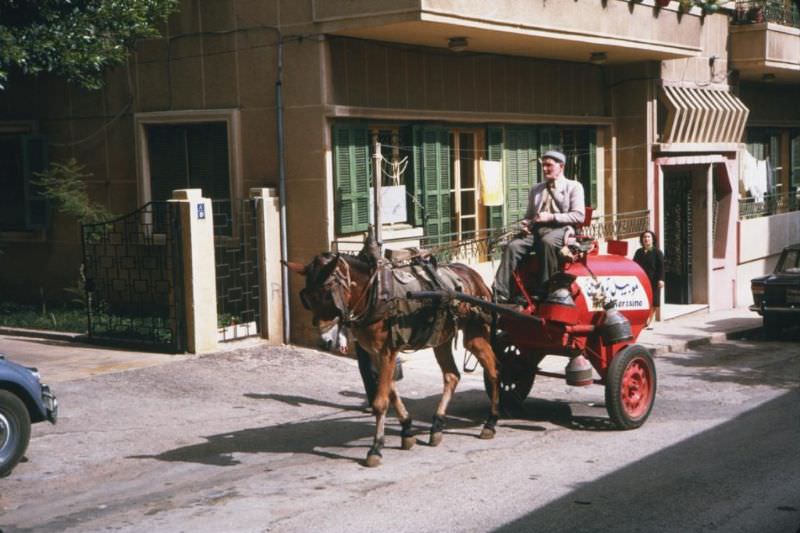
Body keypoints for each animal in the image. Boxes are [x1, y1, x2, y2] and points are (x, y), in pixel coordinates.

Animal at [288, 251, 500, 464]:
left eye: (327, 295)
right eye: (307, 298)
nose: (325, 342)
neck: (373, 294)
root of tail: (473, 275)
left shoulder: (386, 352)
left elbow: (380, 402)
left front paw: (376, 447)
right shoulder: (375, 353)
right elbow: (390, 391)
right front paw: (407, 431)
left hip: (475, 334)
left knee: (493, 371)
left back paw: (490, 422)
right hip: (441, 337)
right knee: (452, 376)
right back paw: (437, 425)